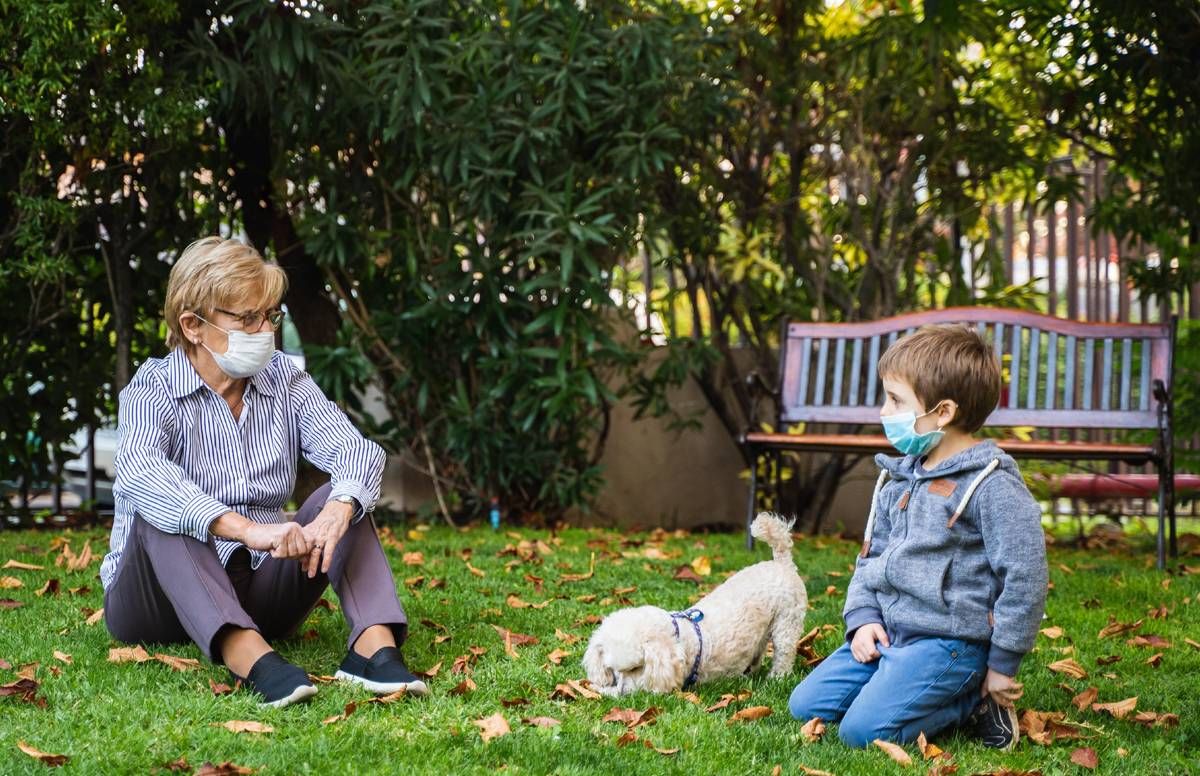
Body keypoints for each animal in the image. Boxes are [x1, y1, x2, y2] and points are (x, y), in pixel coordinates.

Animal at [580, 513, 806, 695]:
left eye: (637, 668)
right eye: (612, 669)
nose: (624, 691)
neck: (677, 636)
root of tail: (781, 563)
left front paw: (604, 690)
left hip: (787, 623)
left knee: (784, 653)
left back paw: (777, 678)